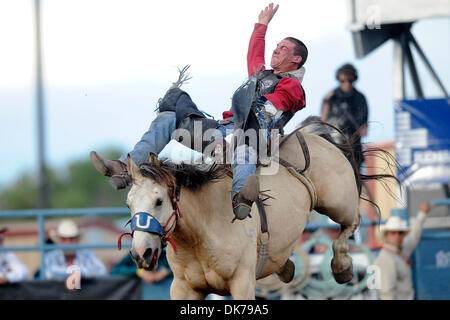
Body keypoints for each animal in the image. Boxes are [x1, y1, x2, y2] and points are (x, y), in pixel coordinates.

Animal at [119, 118, 398, 300]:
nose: (140, 252)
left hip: (338, 203)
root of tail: (313, 135)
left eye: (159, 201)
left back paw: (342, 267)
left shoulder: (242, 284)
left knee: (351, 223)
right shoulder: (182, 288)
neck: (200, 233)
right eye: (129, 204)